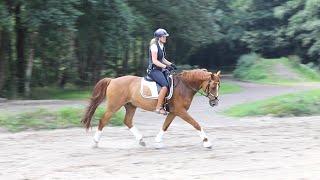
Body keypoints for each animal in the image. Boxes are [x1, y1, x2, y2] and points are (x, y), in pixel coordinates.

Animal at [80, 68, 220, 148]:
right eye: (213, 86)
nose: (215, 103)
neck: (184, 86)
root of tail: (112, 80)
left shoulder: (174, 112)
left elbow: (165, 126)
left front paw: (158, 141)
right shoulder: (181, 111)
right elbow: (195, 124)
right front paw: (207, 142)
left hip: (131, 106)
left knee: (127, 121)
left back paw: (141, 140)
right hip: (114, 106)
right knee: (103, 121)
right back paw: (95, 142)